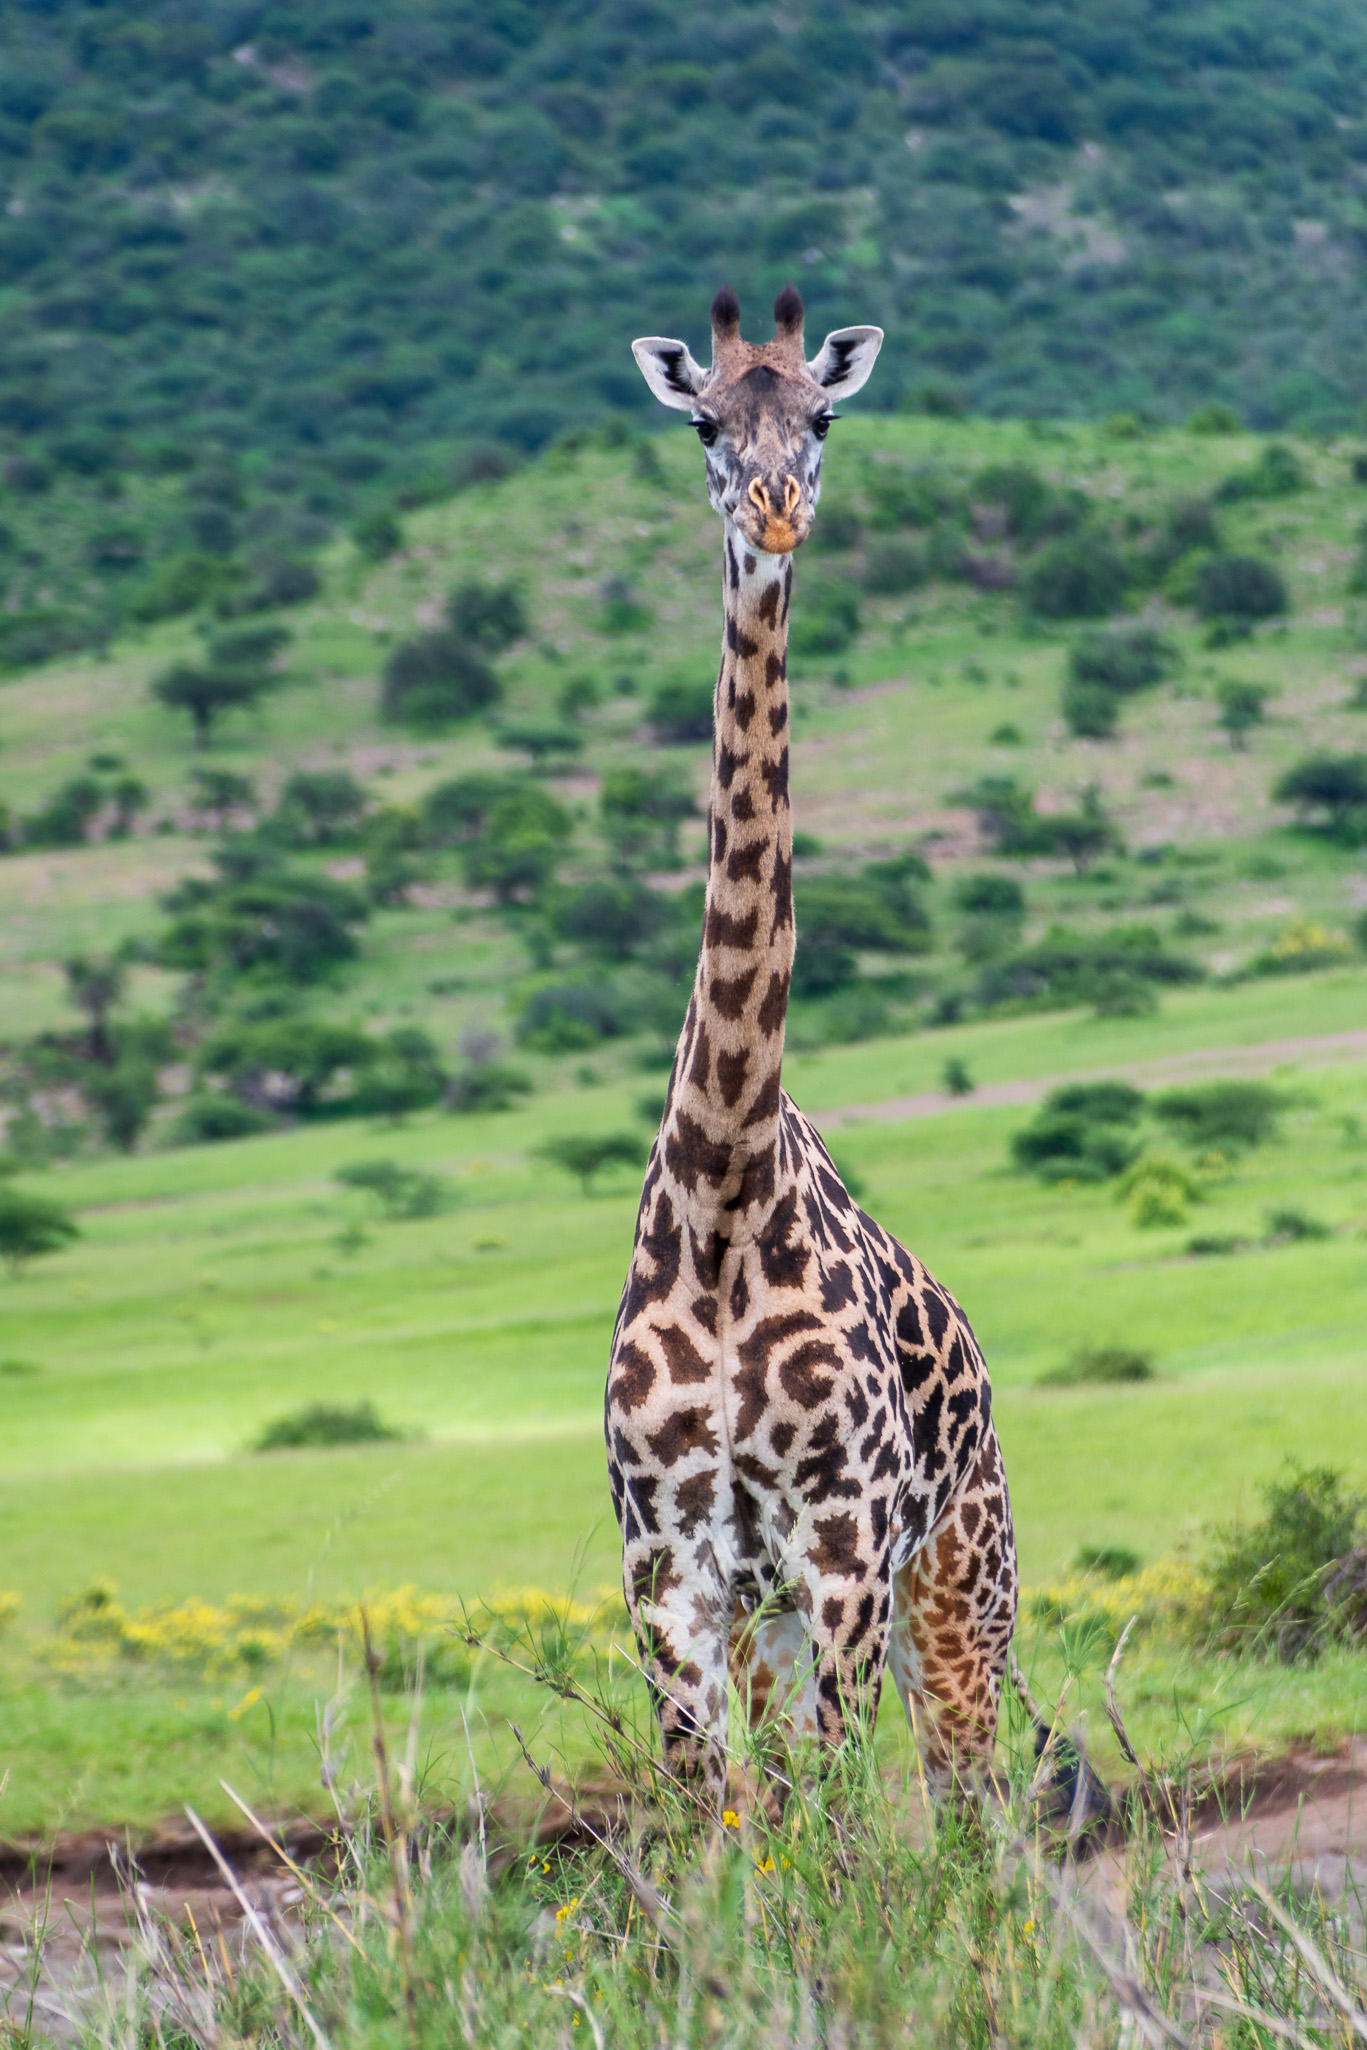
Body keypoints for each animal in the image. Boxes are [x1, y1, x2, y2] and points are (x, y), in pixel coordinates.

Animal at [604, 285, 1023, 1812]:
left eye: (825, 415)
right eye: (704, 425)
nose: (775, 510)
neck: (724, 1181)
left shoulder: (841, 1547)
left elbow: (834, 1822)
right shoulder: (669, 1564)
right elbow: (718, 1816)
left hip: (956, 1584)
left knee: (978, 1805)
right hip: (780, 1614)